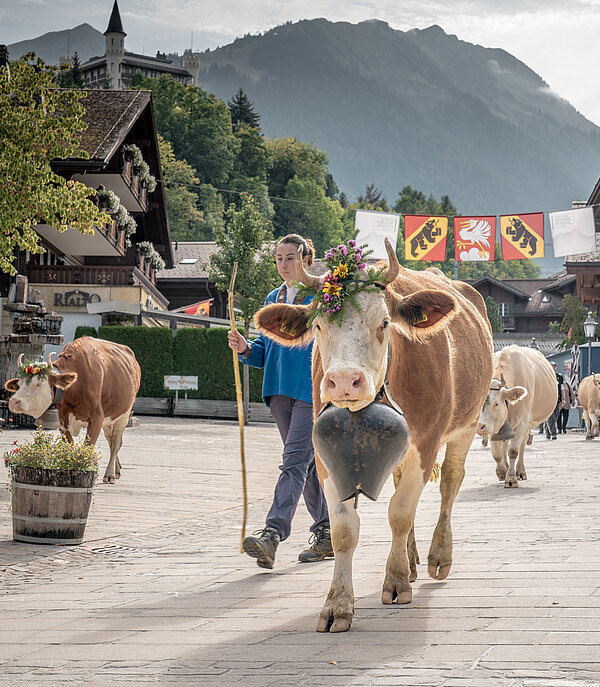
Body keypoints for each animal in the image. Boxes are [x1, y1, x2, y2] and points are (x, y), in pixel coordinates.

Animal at [253, 238, 492, 636]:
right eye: (318, 325)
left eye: (384, 323)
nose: (344, 381)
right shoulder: (324, 454)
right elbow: (345, 529)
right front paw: (337, 604)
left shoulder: (426, 443)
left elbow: (400, 513)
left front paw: (395, 582)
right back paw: (411, 559)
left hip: (468, 424)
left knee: (450, 482)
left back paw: (436, 556)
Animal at [478, 346, 556, 486]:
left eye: (496, 403)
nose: (480, 426)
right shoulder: (495, 424)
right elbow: (497, 453)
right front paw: (502, 472)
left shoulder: (522, 422)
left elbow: (513, 451)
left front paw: (511, 479)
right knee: (504, 443)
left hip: (527, 424)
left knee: (522, 445)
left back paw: (520, 472)